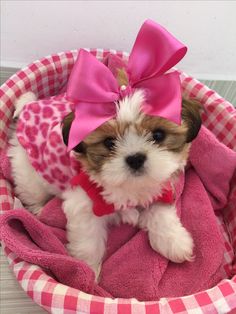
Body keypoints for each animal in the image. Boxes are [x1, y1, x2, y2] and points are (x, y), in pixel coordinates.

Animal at [8, 86, 201, 280]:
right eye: (109, 142)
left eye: (158, 135)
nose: (135, 158)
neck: (130, 187)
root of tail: (30, 105)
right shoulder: (83, 205)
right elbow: (88, 243)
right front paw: (86, 271)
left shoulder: (159, 190)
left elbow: (161, 212)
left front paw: (175, 241)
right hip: (29, 172)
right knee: (32, 192)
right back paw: (39, 210)